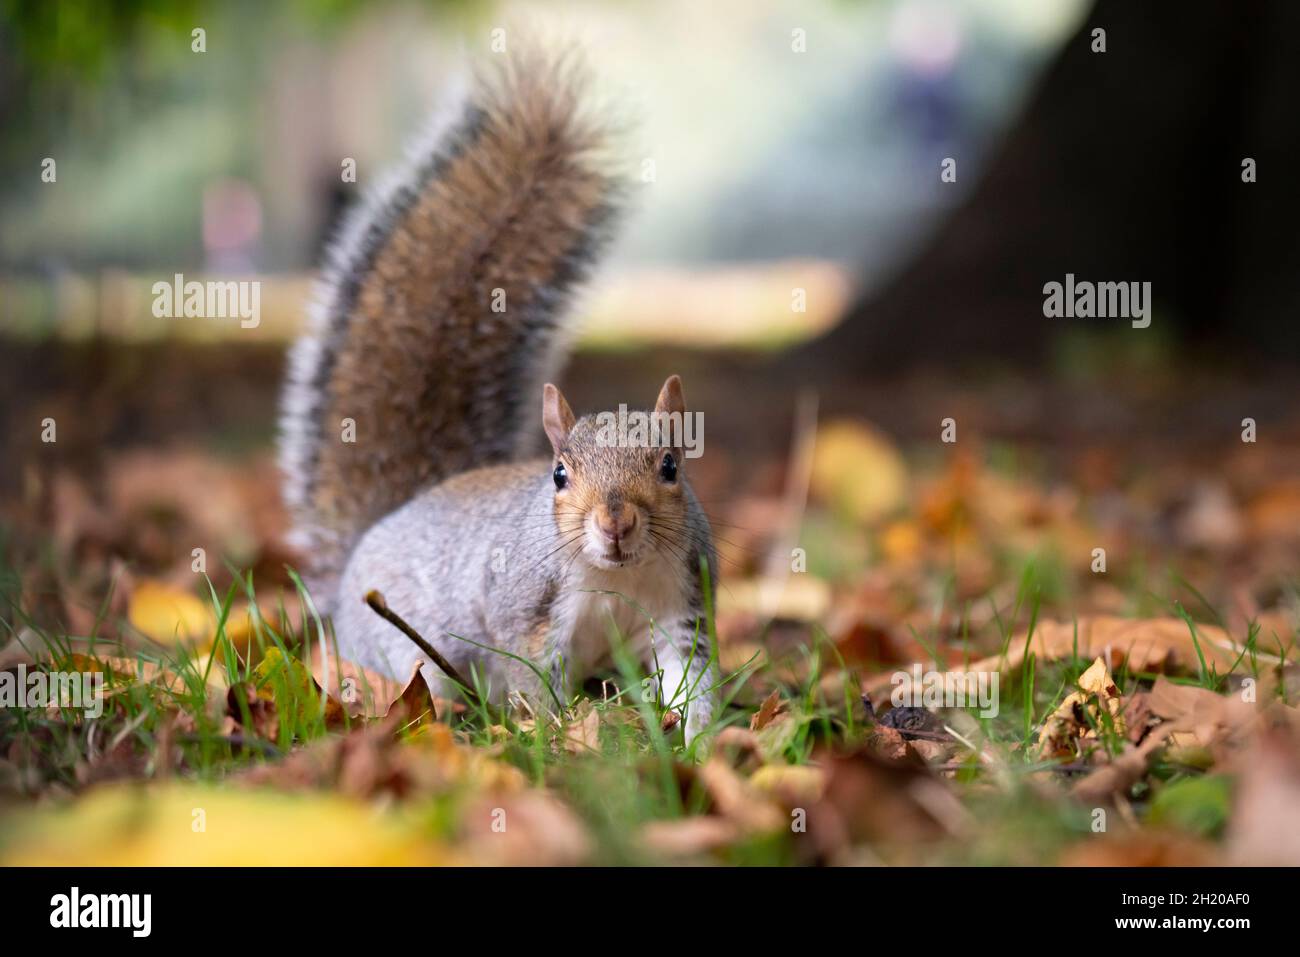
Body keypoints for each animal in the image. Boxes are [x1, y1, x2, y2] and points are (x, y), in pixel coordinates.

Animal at [279, 51, 719, 744]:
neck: (616, 576)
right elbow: (535, 681)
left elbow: (691, 682)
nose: (616, 523)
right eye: (559, 474)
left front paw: (703, 745)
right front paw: (560, 740)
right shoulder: (526, 614)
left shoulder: (682, 608)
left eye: (672, 466)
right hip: (398, 647)